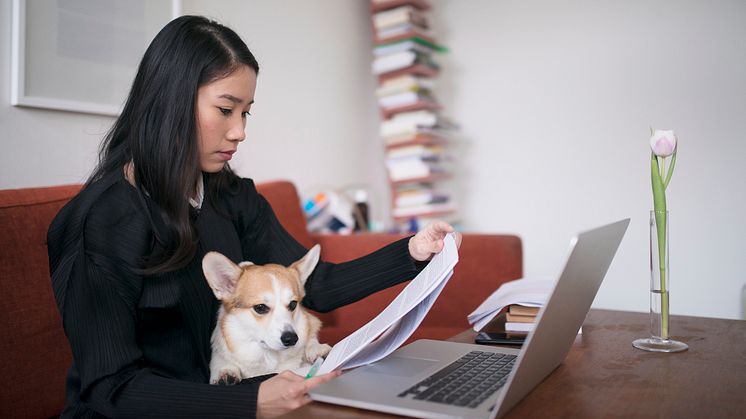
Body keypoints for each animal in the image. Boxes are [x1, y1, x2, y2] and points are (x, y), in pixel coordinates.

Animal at [203, 246, 332, 388]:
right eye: (260, 307)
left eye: (293, 304)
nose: (291, 339)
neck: (267, 356)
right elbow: (220, 362)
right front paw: (224, 371)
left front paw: (316, 349)